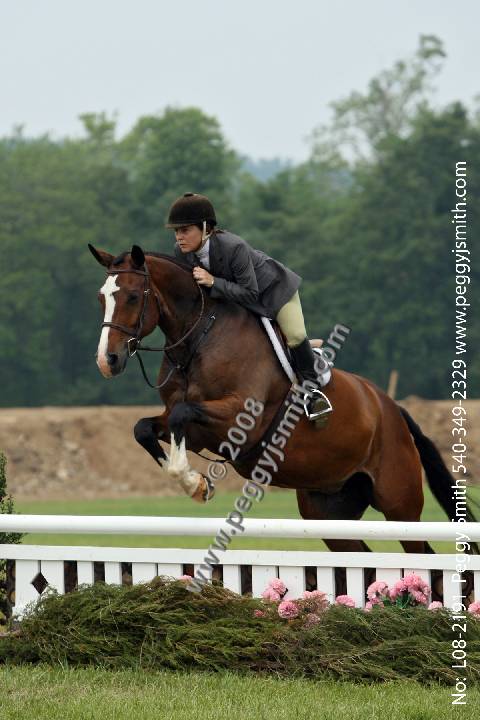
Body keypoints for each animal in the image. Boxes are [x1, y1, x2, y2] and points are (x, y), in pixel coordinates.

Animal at [89, 244, 478, 566]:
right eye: (101, 298)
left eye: (134, 297)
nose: (107, 361)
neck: (199, 337)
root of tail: (391, 408)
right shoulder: (193, 429)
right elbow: (145, 427)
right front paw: (194, 482)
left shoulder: (239, 422)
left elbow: (181, 416)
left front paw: (194, 481)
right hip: (326, 511)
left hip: (399, 503)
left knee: (421, 554)